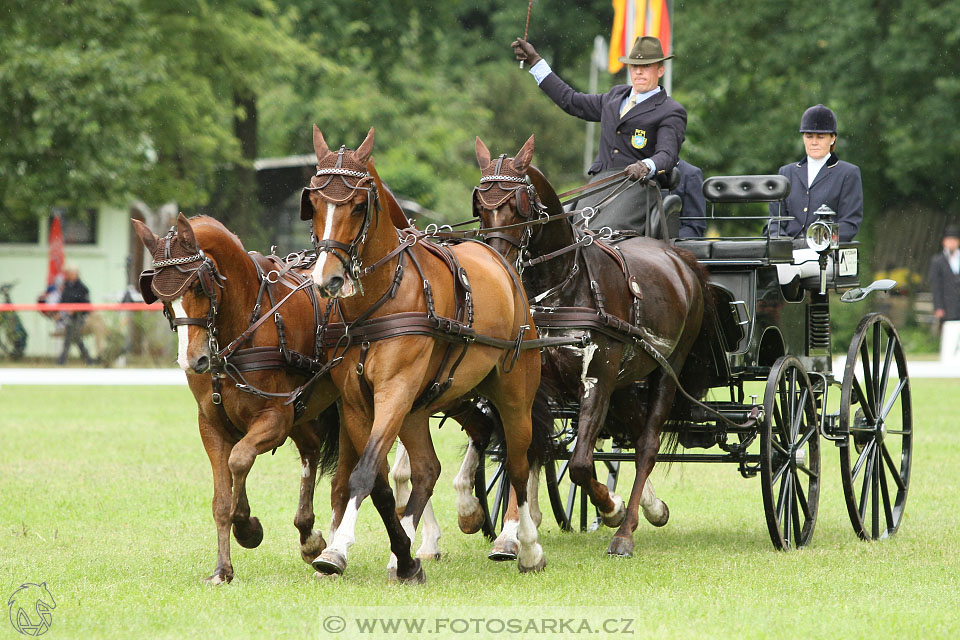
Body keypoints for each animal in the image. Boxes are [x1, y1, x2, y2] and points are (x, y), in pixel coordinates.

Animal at [131, 215, 344, 584]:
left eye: (198, 286)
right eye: (158, 294)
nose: (193, 360)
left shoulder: (275, 418)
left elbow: (240, 459)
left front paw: (246, 527)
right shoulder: (212, 425)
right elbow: (222, 496)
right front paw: (223, 567)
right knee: (311, 449)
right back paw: (308, 536)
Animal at [304, 125, 552, 580]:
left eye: (358, 205)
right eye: (312, 202)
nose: (326, 279)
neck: (381, 298)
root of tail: (500, 261)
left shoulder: (396, 390)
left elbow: (364, 473)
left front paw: (340, 548)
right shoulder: (357, 402)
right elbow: (375, 478)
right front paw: (385, 552)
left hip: (513, 393)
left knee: (519, 460)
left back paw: (523, 545)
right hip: (422, 406)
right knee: (426, 469)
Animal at [472, 138, 712, 556]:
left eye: (518, 205)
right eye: (481, 207)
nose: (497, 262)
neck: (561, 286)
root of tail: (680, 258)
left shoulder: (596, 379)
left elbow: (581, 463)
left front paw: (611, 507)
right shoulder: (538, 383)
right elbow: (526, 449)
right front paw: (511, 534)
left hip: (667, 370)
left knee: (647, 443)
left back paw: (624, 530)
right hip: (625, 380)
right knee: (635, 427)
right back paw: (652, 507)